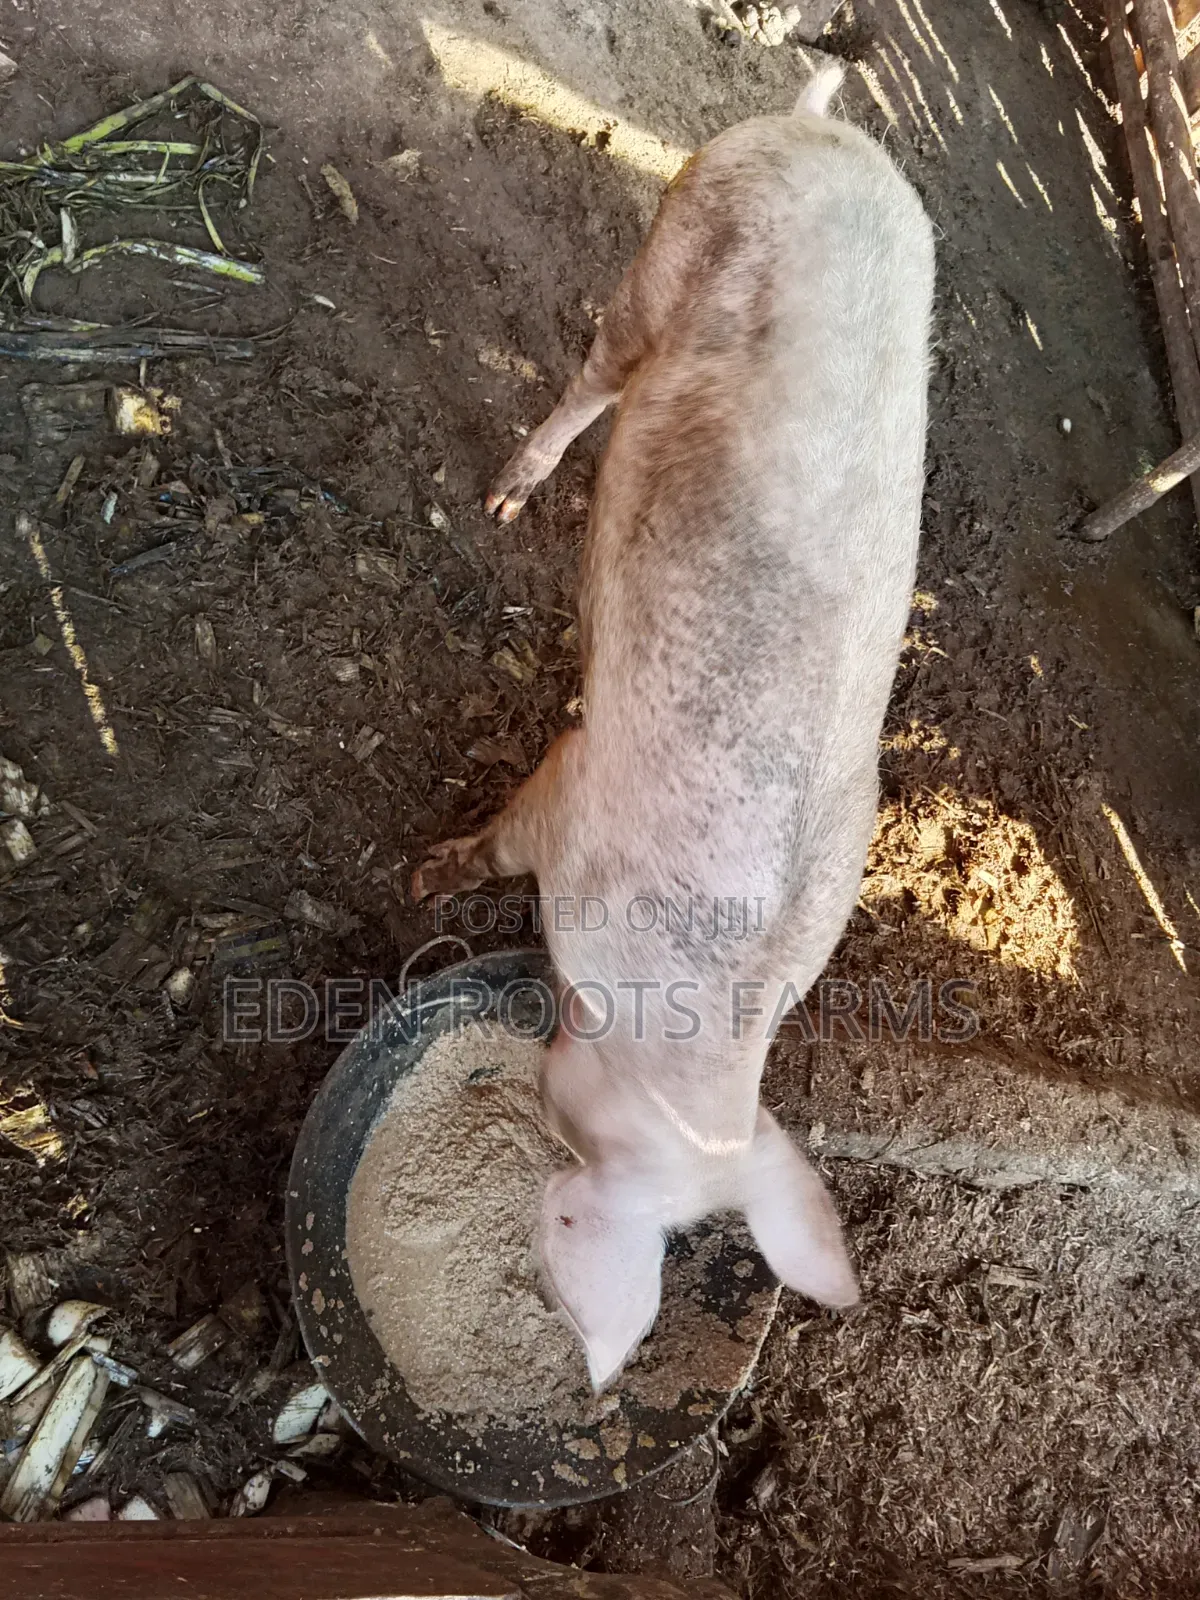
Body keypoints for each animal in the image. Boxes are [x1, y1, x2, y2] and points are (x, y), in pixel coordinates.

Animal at [412, 64, 935, 1389]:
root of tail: (823, 133)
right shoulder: (572, 788)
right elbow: (497, 841)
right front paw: (425, 870)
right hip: (677, 233)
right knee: (599, 365)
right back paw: (506, 497)